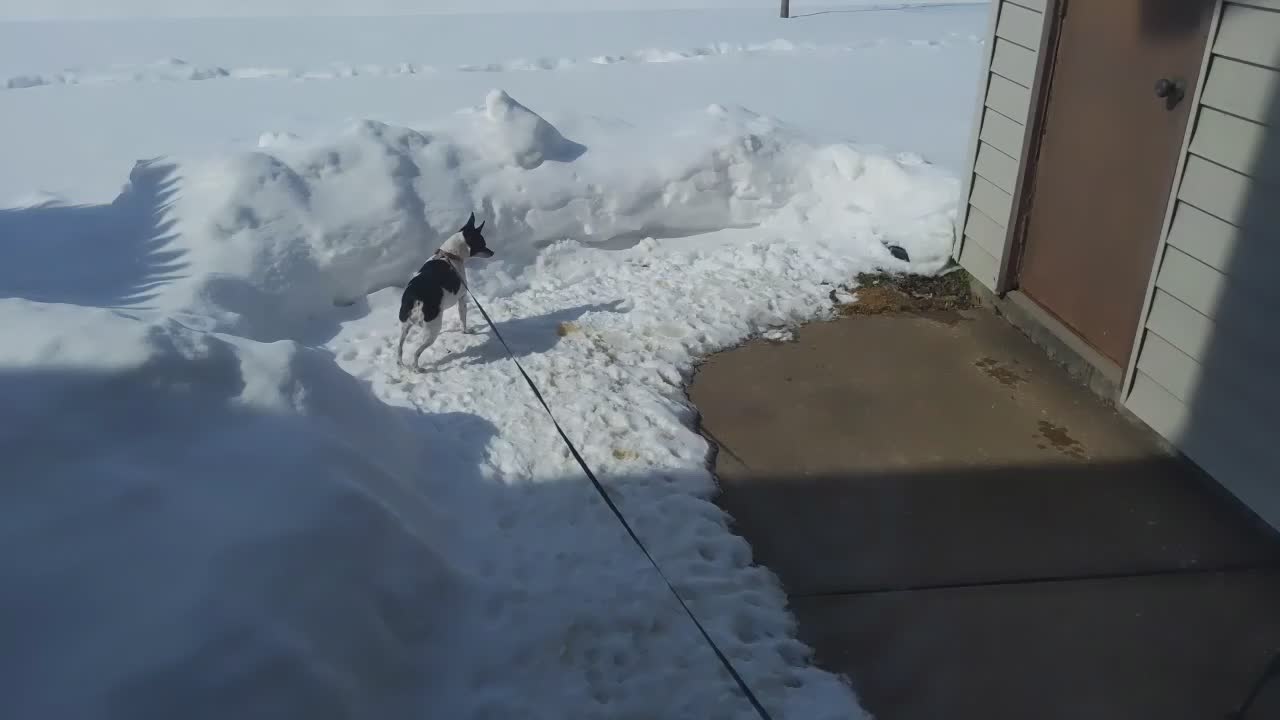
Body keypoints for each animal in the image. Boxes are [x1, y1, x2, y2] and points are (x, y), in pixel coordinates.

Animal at [399, 211, 494, 368]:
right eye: (482, 244)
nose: (493, 252)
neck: (450, 254)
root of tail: (415, 300)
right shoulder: (462, 299)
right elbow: (463, 320)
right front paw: (466, 331)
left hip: (405, 327)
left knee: (399, 349)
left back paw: (400, 363)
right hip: (432, 331)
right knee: (416, 353)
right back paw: (417, 369)